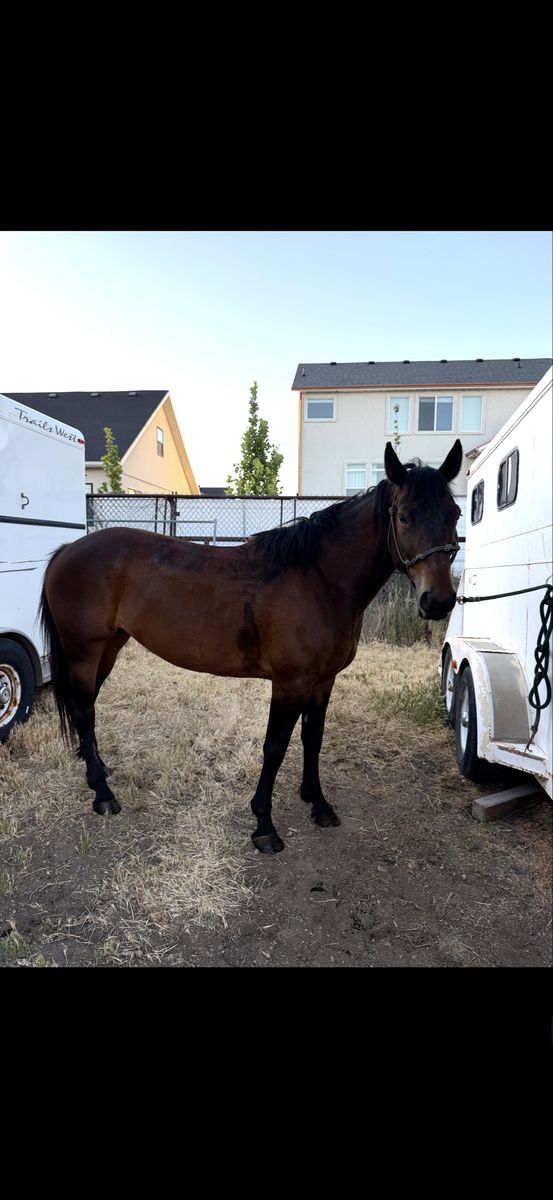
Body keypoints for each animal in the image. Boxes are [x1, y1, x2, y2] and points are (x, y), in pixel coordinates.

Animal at [39, 439, 463, 854]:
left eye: (456, 513)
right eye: (404, 516)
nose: (438, 601)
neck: (319, 579)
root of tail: (67, 550)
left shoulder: (323, 681)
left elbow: (313, 739)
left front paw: (318, 804)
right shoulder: (290, 683)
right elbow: (275, 747)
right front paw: (264, 826)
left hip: (109, 648)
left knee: (87, 708)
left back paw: (96, 771)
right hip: (84, 651)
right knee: (84, 713)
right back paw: (103, 794)